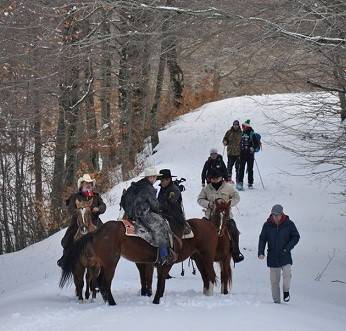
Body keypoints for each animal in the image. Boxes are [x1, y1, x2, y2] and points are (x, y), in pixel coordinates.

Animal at [58, 218, 218, 306]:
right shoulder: (164, 264)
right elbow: (159, 283)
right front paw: (156, 300)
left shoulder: (162, 265)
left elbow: (159, 283)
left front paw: (156, 299)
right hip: (110, 263)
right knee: (103, 283)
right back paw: (112, 303)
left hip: (202, 257)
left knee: (208, 275)